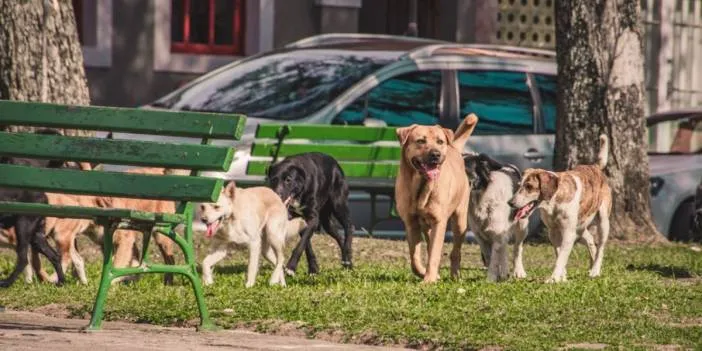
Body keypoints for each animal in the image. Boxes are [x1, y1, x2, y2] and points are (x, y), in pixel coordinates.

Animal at [394, 114, 482, 284]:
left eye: (440, 141)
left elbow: (434, 254)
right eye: (420, 141)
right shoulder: (411, 223)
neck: (421, 186)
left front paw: (429, 279)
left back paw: (455, 275)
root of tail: (453, 148)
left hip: (460, 220)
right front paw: (423, 273)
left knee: (455, 252)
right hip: (428, 226)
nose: (436, 154)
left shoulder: (439, 222)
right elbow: (414, 257)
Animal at [508, 135, 612, 284]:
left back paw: (595, 270)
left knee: (601, 247)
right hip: (579, 227)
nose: (510, 202)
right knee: (590, 240)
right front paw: (562, 276)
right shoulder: (553, 232)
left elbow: (562, 257)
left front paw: (554, 278)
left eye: (529, 187)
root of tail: (595, 166)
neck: (553, 203)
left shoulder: (568, 233)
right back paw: (591, 265)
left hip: (603, 221)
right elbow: (558, 254)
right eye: (519, 185)